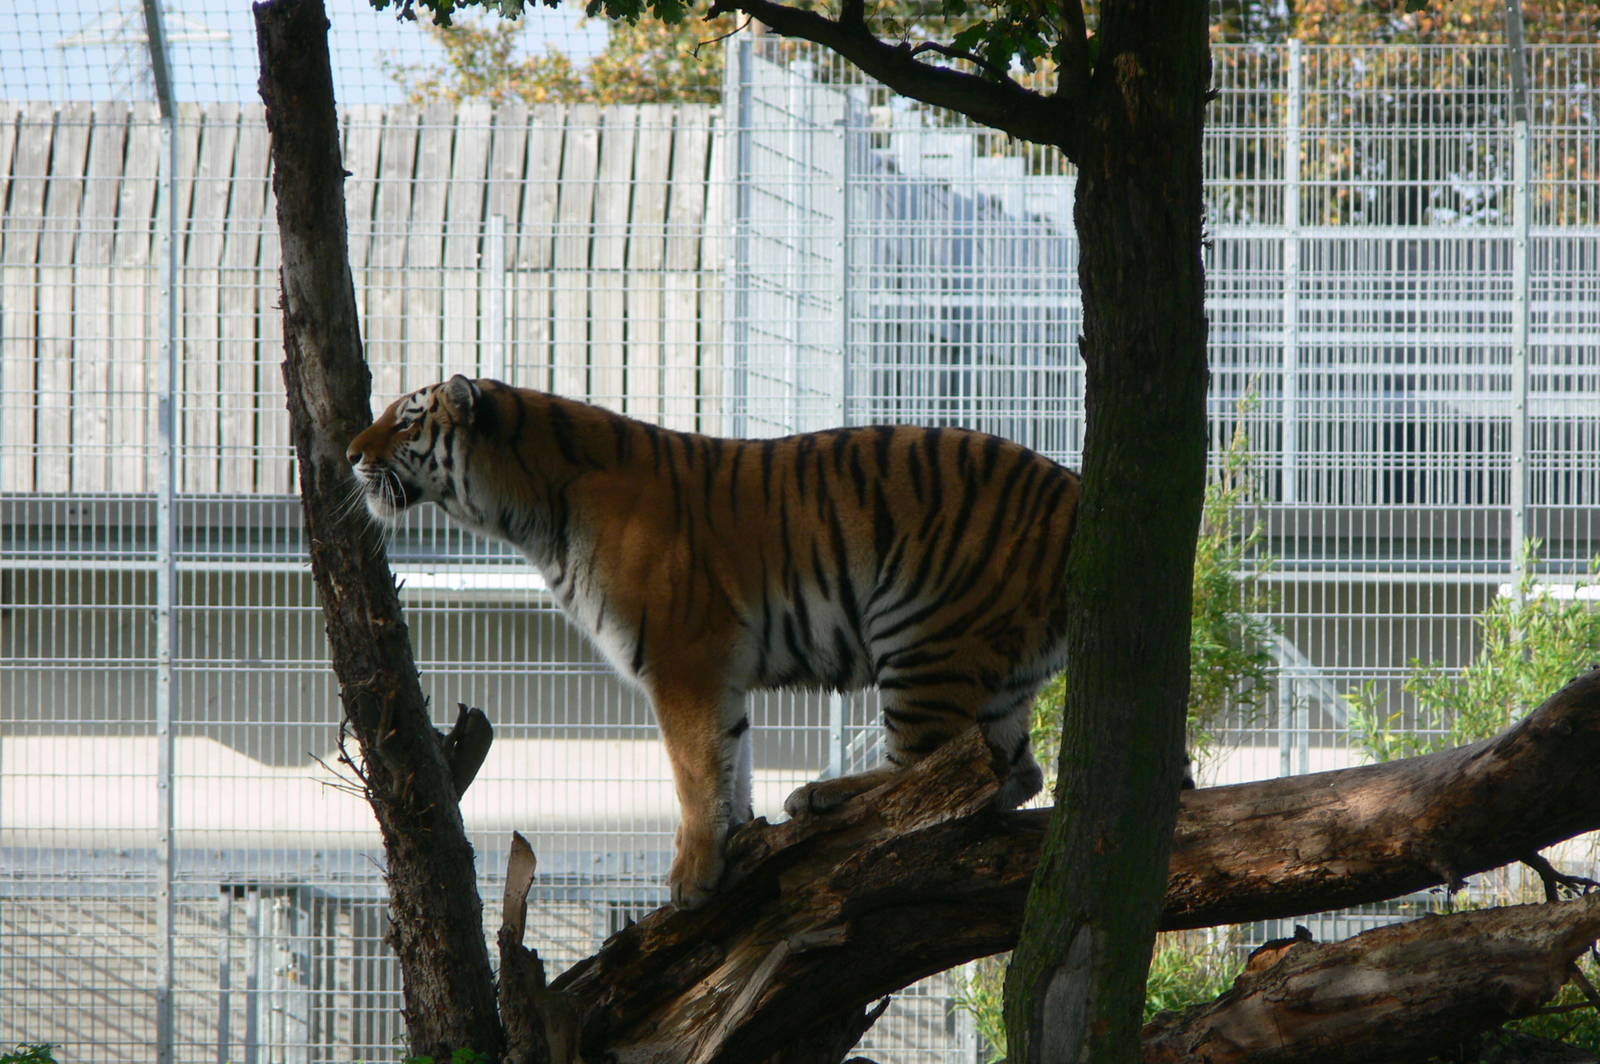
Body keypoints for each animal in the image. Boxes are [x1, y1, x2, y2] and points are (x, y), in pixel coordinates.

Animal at [347, 375, 1081, 908]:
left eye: (407, 419)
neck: (527, 506)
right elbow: (729, 760)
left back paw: (824, 796)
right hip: (990, 669)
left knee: (928, 782)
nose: (351, 453)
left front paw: (693, 876)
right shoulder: (715, 673)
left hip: (923, 633)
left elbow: (695, 769)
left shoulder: (683, 659)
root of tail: (1072, 486)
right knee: (1011, 774)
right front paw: (732, 841)